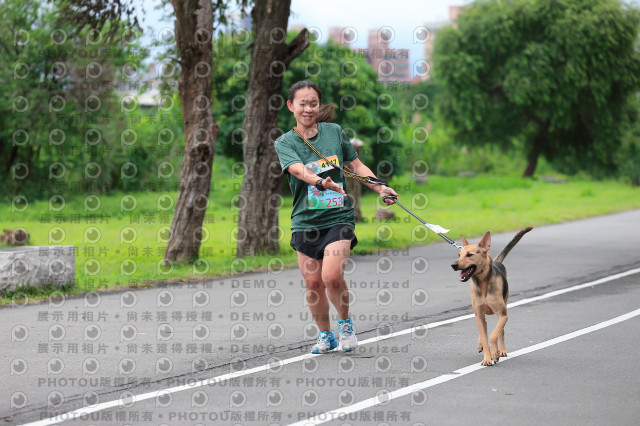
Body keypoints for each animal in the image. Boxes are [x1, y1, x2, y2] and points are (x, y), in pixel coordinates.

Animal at [450, 226, 536, 366]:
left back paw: (502, 350)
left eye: (469, 255)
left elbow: (493, 335)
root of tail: (496, 261)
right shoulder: (479, 315)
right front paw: (487, 357)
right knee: (484, 331)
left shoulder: (503, 315)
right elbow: (485, 338)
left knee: (501, 331)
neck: (483, 284)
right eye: (459, 255)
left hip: (503, 309)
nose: (453, 265)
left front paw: (495, 353)